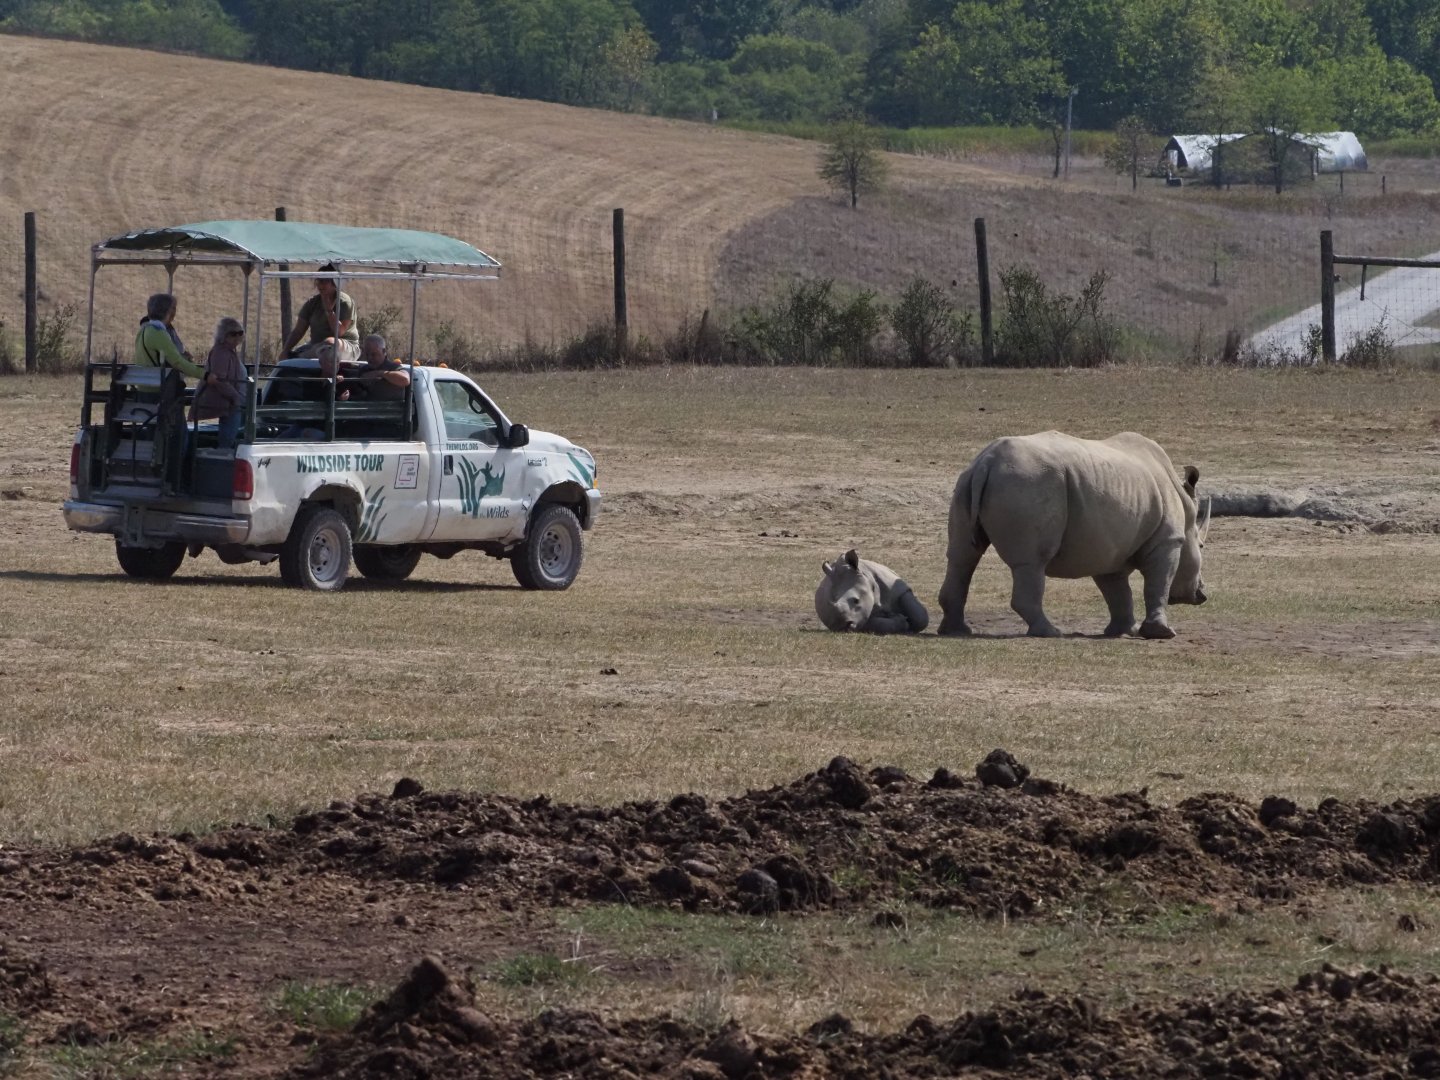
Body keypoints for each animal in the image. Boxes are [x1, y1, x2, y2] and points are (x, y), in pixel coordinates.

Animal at [938, 431, 1210, 639]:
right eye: (1201, 545)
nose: (1201, 595)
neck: (1186, 506)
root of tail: (988, 461)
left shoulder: (1107, 548)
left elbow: (1118, 591)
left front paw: (1125, 631)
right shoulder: (1168, 541)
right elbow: (1158, 584)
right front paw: (1162, 633)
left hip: (969, 482)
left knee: (962, 557)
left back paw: (957, 631)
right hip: (1028, 484)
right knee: (1032, 562)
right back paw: (1051, 632)